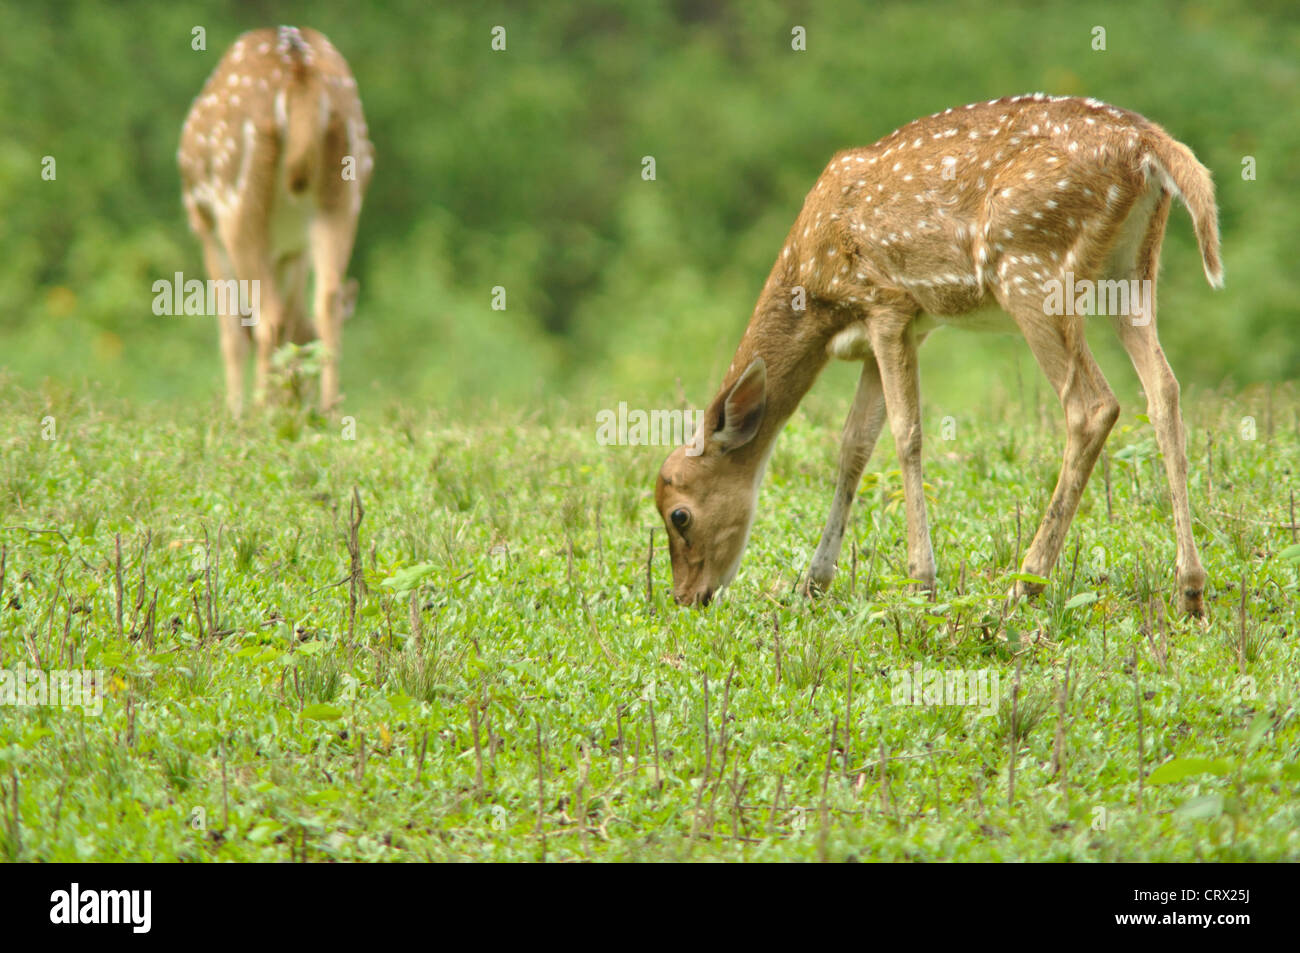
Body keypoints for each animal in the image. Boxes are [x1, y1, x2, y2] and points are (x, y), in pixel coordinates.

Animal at [176, 23, 377, 413]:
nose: (297, 398)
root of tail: (299, 71)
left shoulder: (205, 229)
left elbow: (233, 335)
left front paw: (234, 412)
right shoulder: (292, 249)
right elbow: (288, 320)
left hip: (235, 198)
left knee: (265, 318)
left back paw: (258, 414)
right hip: (345, 192)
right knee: (326, 302)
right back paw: (330, 412)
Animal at [655, 96, 1222, 613]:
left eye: (679, 514)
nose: (687, 598)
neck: (816, 290)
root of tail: (1148, 145)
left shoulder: (886, 304)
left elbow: (906, 435)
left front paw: (921, 580)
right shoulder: (897, 332)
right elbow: (854, 446)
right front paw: (815, 582)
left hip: (1032, 268)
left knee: (1093, 405)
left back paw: (1025, 583)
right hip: (1132, 273)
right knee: (1164, 391)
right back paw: (1190, 588)